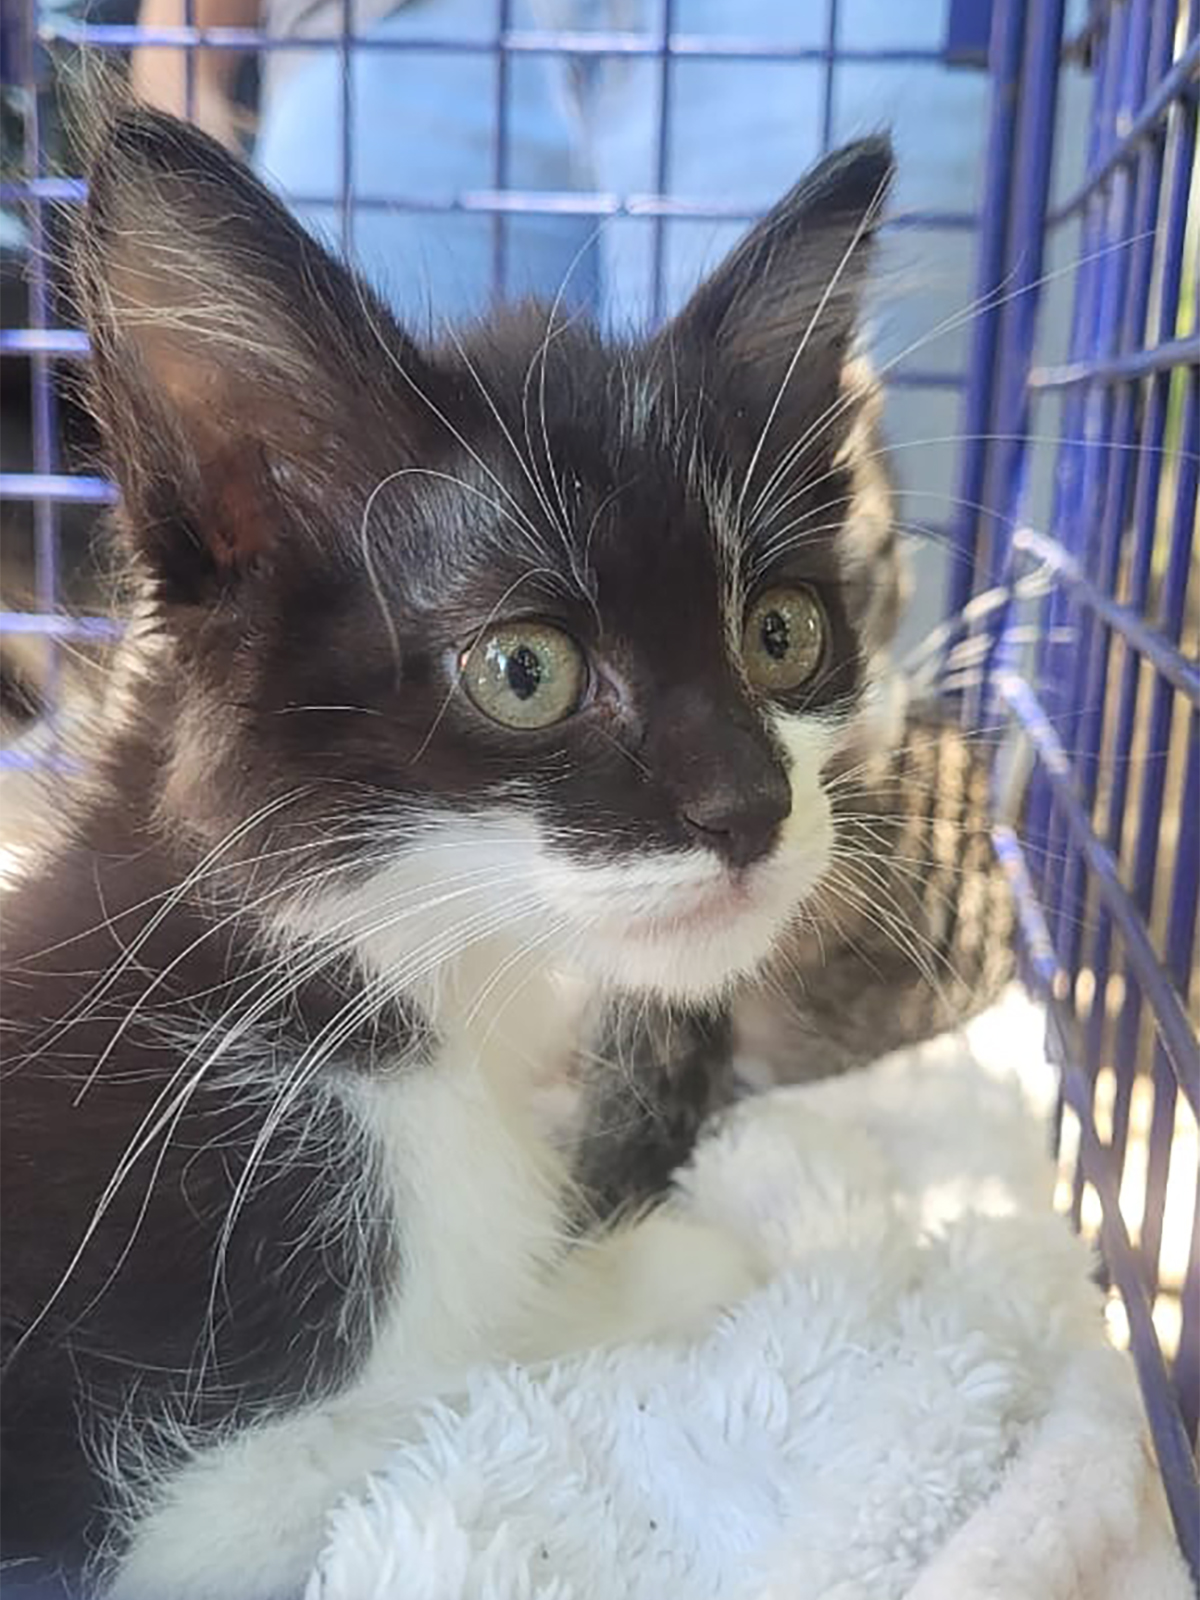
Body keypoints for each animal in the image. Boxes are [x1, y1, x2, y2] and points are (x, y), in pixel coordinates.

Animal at [2, 105, 900, 1598]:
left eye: (782, 632)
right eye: (523, 670)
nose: (750, 807)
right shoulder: (173, 1514)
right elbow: (469, 1375)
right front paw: (671, 1266)